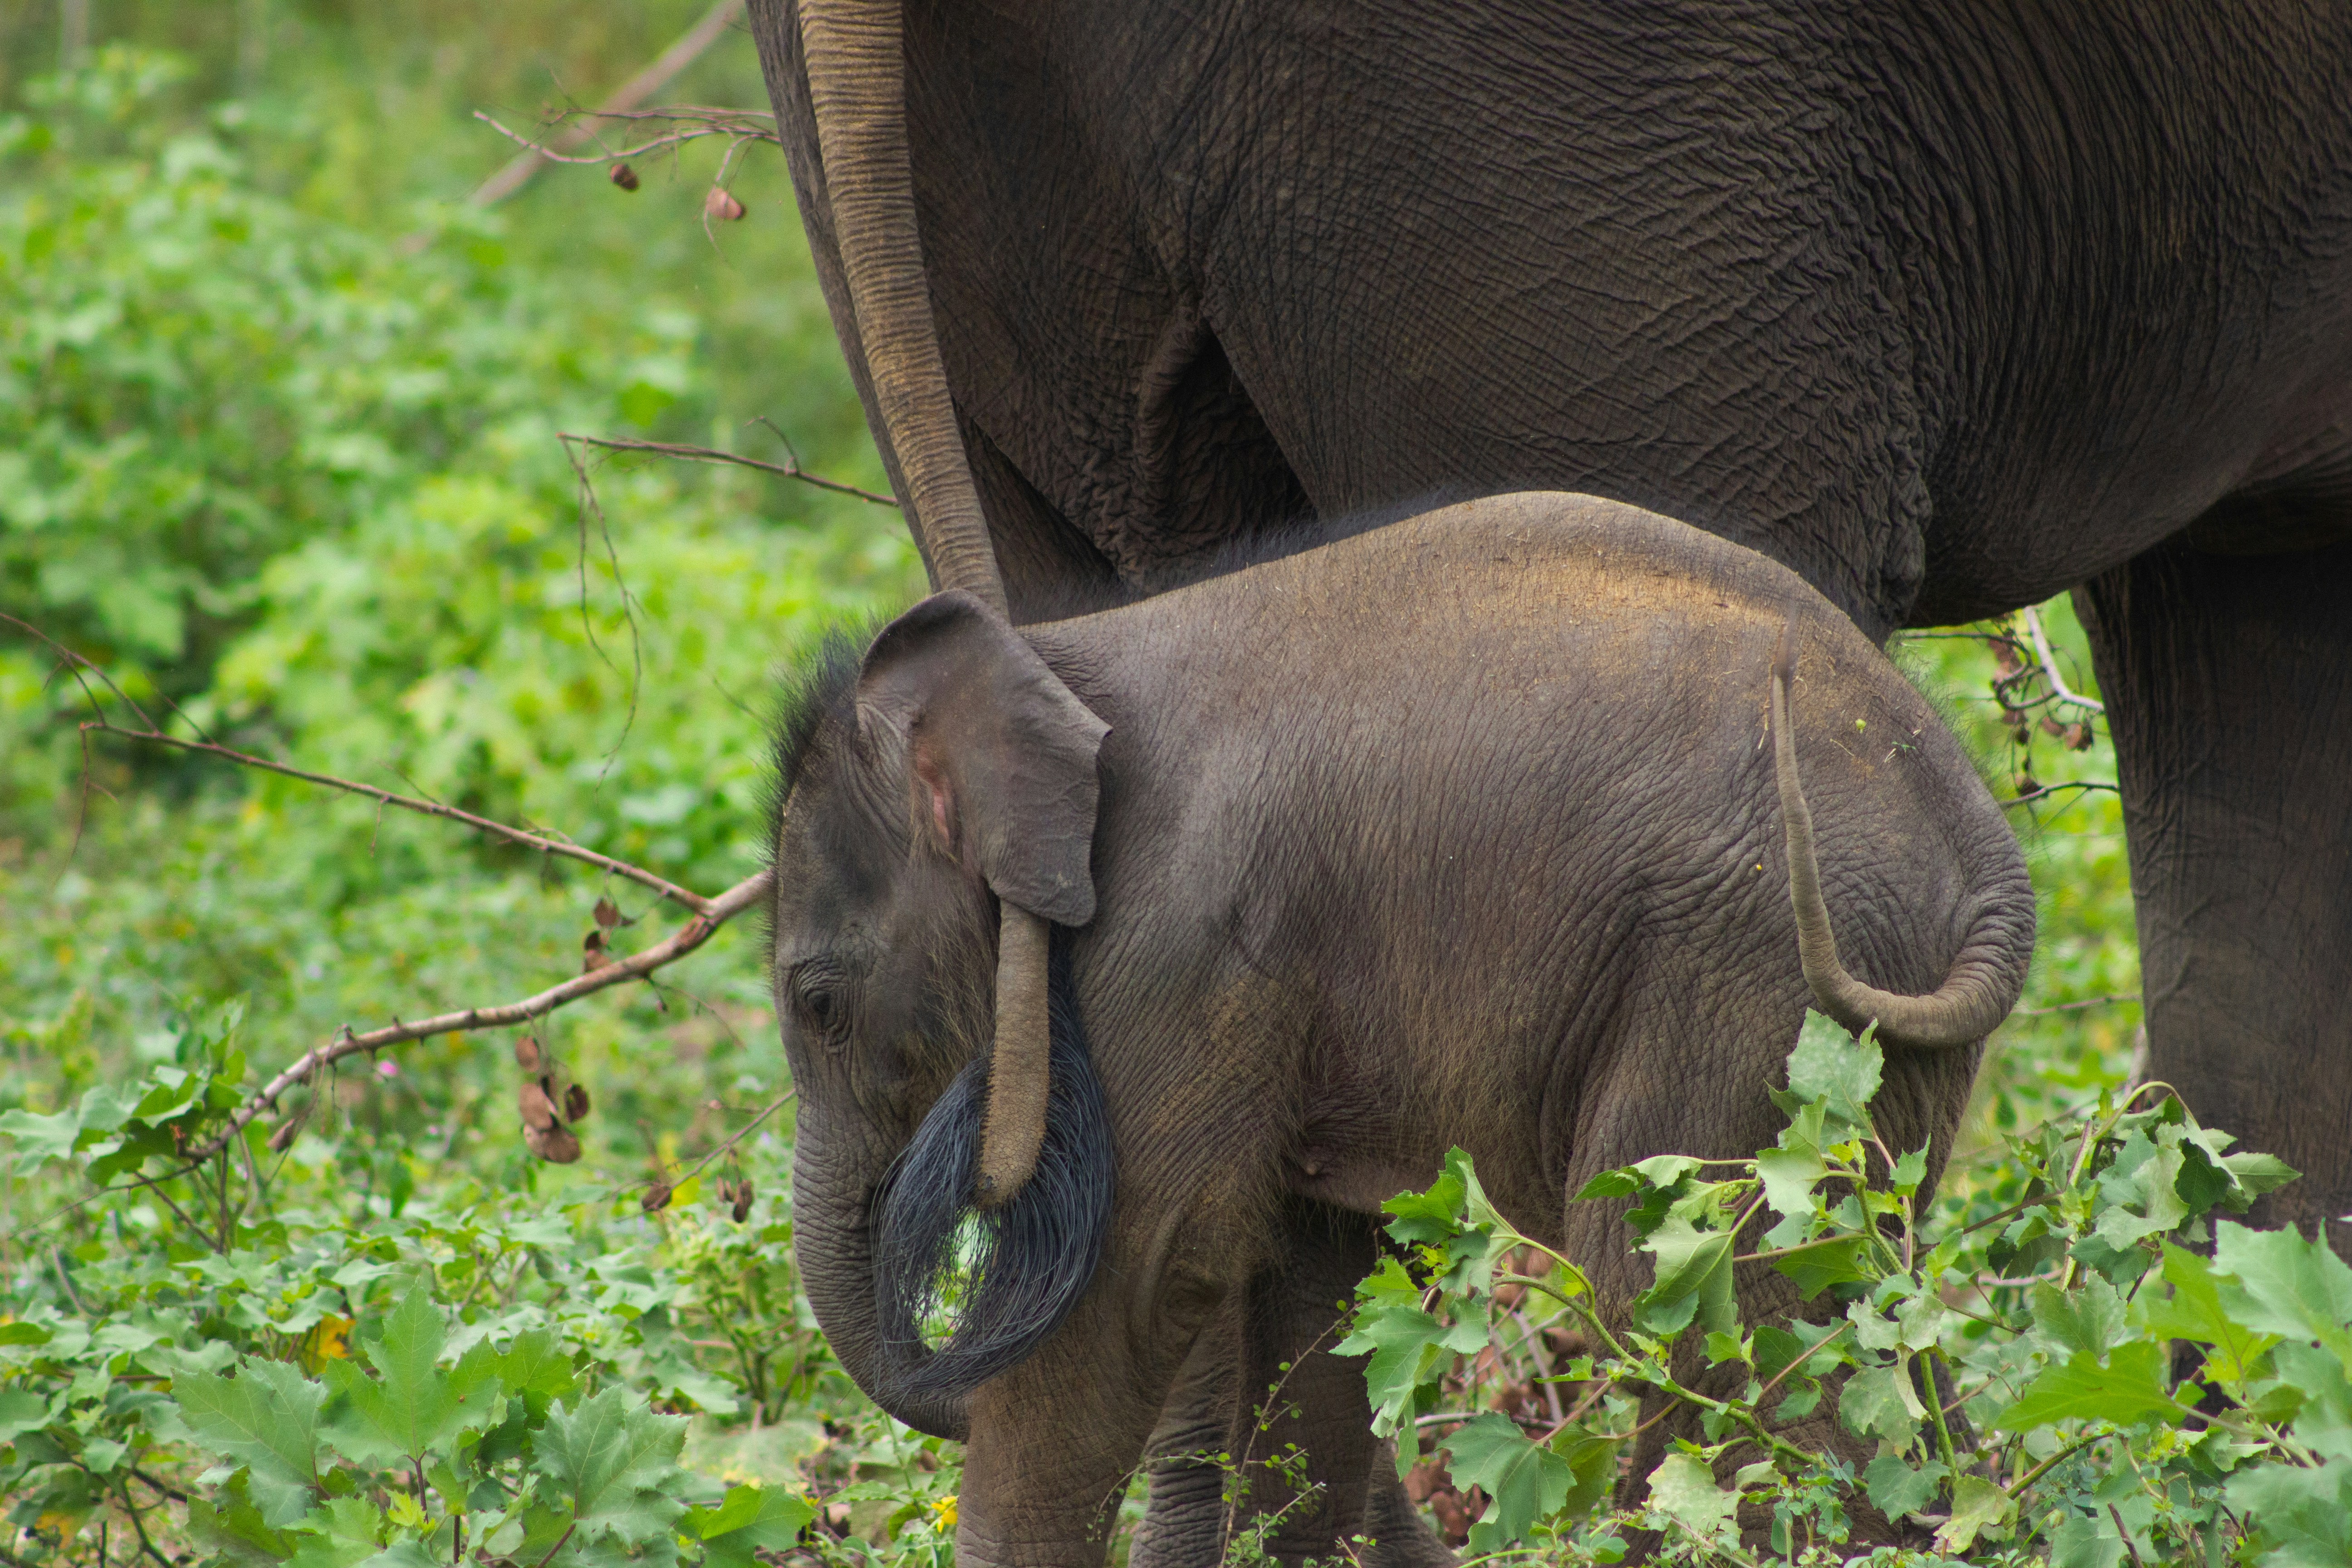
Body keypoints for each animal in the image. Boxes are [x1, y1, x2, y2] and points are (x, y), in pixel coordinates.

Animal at [766, 490, 2037, 1564]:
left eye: (819, 1004)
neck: (1048, 666)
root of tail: (1988, 856)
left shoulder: (1176, 945)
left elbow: (1137, 1278)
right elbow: (1311, 1296)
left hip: (1749, 976)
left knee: (1682, 1291)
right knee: (1858, 1298)